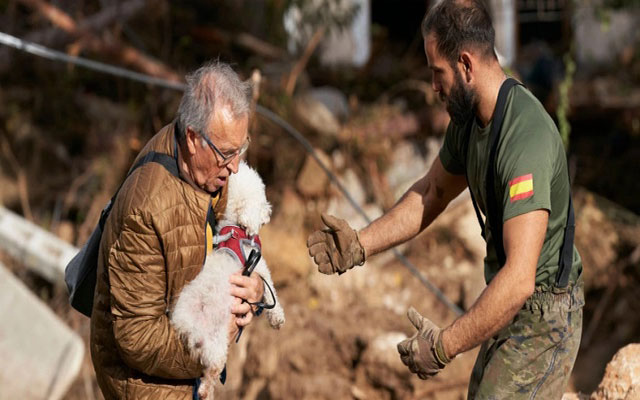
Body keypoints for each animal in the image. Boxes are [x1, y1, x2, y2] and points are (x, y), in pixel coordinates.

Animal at [174, 161, 286, 398]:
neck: (234, 227)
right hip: (217, 343)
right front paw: (277, 317)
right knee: (212, 373)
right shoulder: (258, 266)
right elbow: (270, 289)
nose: (268, 212)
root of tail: (186, 324)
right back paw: (206, 392)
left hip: (209, 344)